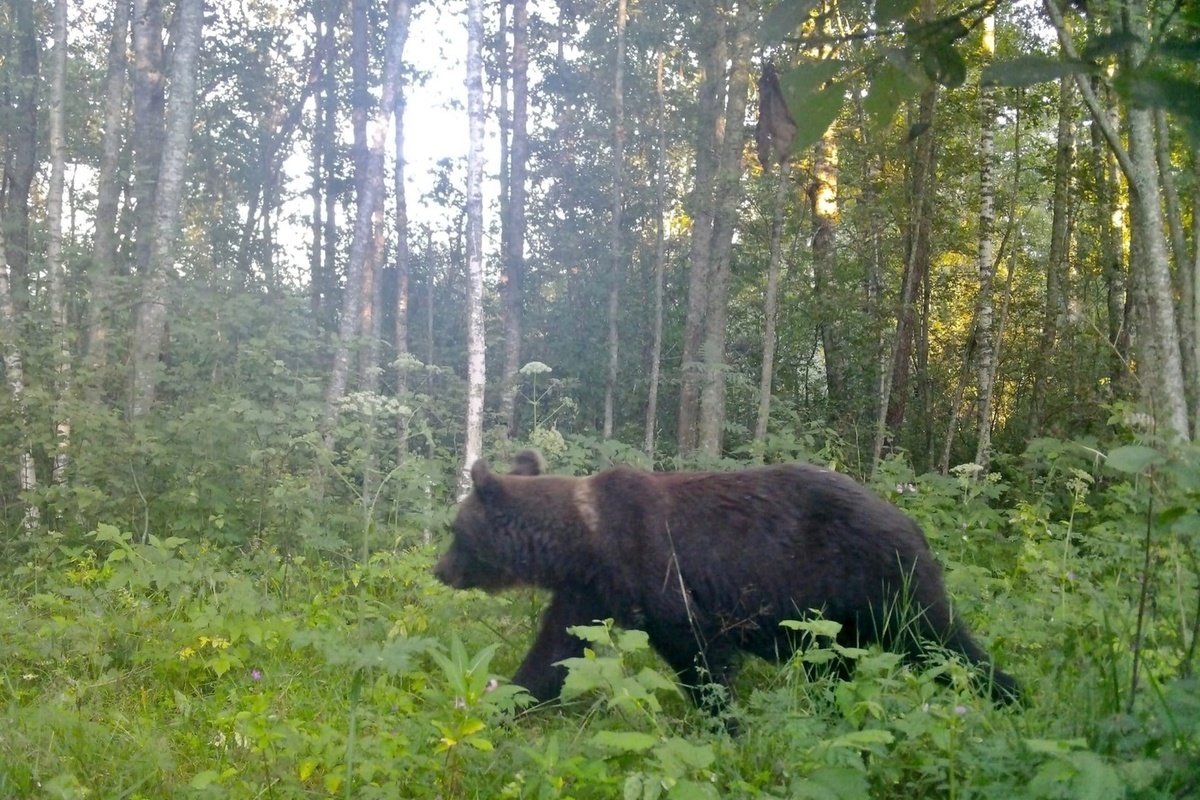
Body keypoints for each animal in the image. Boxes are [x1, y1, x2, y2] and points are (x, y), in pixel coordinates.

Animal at [436, 450, 1017, 714]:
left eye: (454, 530)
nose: (439, 569)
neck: (586, 540)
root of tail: (911, 520)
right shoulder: (590, 592)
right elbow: (555, 654)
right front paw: (502, 702)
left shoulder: (656, 569)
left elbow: (699, 653)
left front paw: (724, 720)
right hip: (834, 619)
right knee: (836, 667)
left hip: (881, 581)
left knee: (940, 640)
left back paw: (1011, 696)